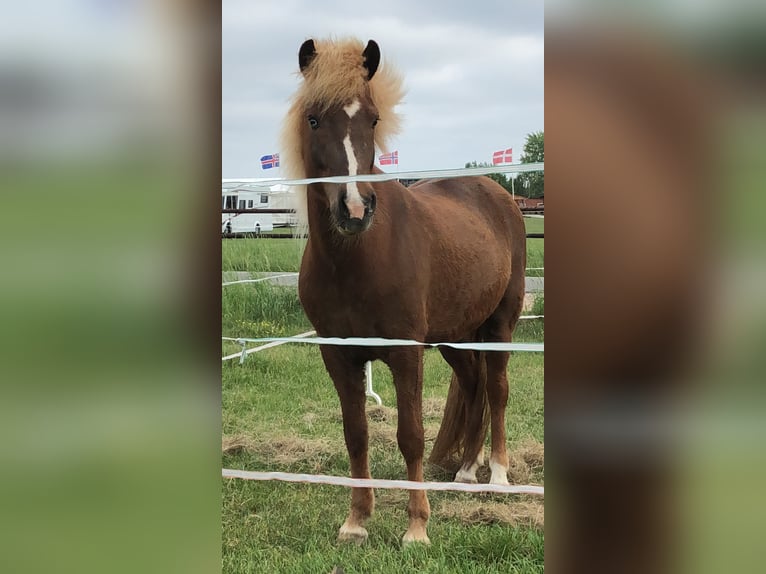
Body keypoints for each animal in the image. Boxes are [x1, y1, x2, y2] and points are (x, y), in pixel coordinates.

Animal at [282, 37, 528, 548]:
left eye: (373, 119)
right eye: (313, 119)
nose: (355, 208)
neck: (357, 257)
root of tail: (500, 197)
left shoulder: (405, 352)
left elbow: (410, 435)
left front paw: (416, 527)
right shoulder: (338, 354)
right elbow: (356, 433)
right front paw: (356, 521)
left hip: (500, 325)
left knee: (496, 389)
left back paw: (497, 475)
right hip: (456, 336)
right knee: (472, 385)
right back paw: (466, 471)